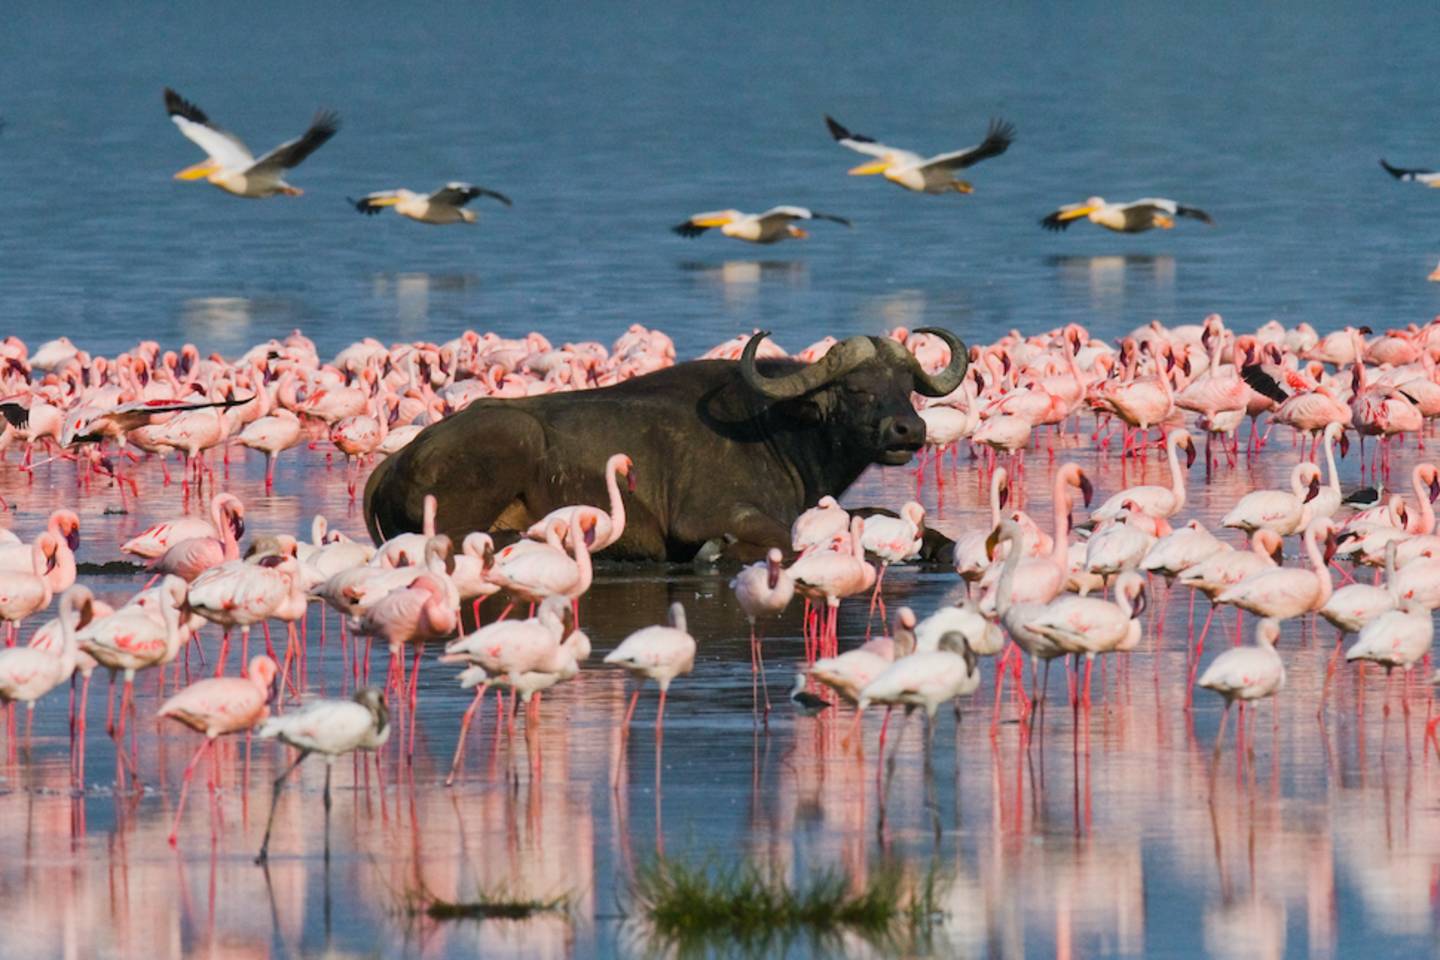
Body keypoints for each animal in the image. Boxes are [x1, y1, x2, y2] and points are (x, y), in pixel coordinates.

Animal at [362, 328, 967, 558]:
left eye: (906, 386)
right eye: (858, 389)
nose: (909, 431)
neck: (776, 431)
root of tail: (396, 461)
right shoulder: (712, 516)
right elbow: (789, 540)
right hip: (511, 440)